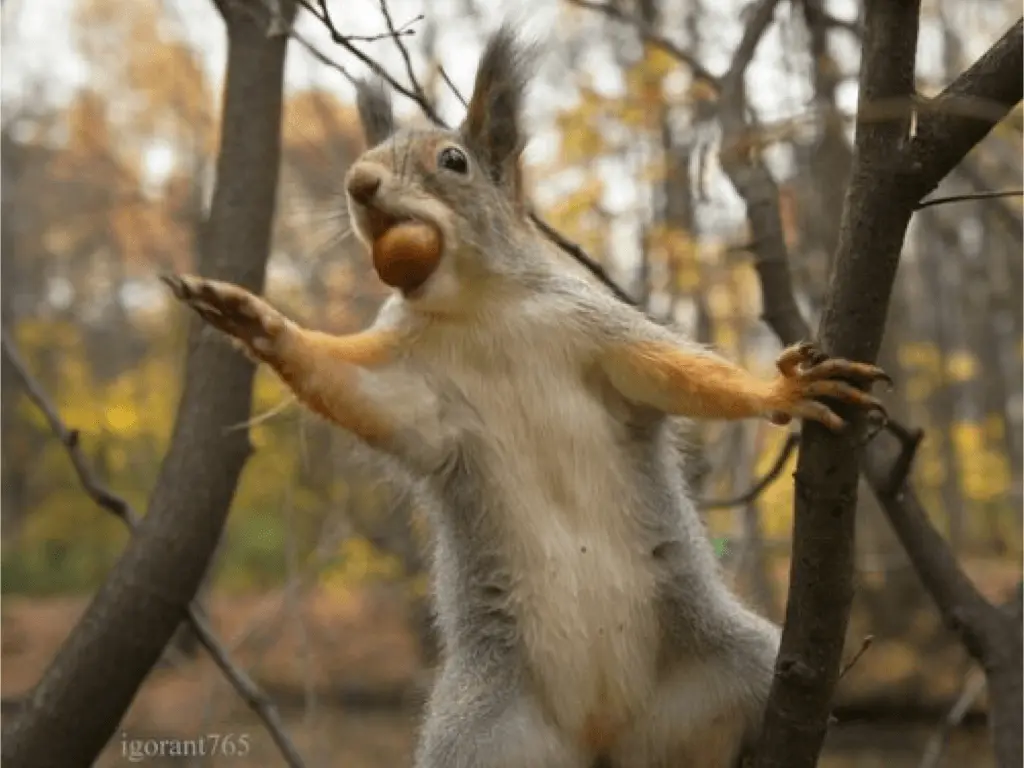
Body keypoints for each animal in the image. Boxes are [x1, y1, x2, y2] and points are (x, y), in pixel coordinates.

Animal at [159, 24, 888, 768]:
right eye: (365, 162)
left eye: (453, 161)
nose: (358, 184)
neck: (478, 308)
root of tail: (604, 732)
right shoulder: (413, 386)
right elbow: (359, 389)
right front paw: (255, 320)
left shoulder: (599, 332)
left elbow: (677, 374)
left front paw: (785, 385)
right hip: (482, 735)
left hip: (734, 670)